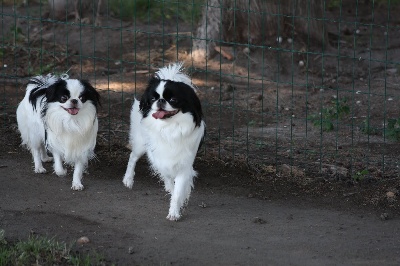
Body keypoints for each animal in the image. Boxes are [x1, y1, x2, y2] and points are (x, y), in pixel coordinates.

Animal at [122, 62, 206, 220]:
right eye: (152, 99)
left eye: (173, 100)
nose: (160, 100)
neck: (169, 128)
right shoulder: (159, 158)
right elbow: (169, 179)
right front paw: (174, 197)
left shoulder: (184, 165)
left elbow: (178, 190)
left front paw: (174, 210)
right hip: (141, 144)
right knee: (133, 156)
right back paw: (128, 179)